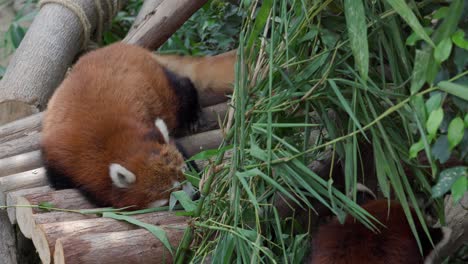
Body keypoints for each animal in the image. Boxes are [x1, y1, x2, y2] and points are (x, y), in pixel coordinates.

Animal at [41, 42, 234, 208]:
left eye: (185, 172)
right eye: (172, 194)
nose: (194, 195)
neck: (114, 140)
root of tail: (125, 46)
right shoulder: (58, 160)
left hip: (162, 87)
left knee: (183, 86)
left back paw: (192, 116)